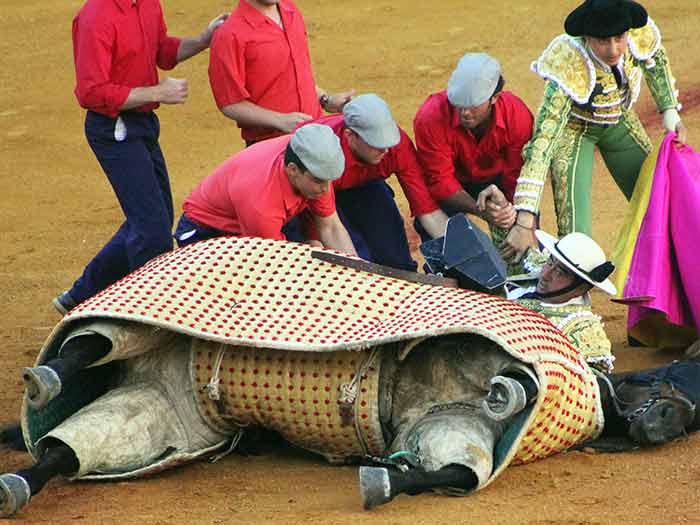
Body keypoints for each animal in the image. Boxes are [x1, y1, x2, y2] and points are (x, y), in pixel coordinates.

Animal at [1, 237, 700, 516]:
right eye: (669, 389)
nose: (667, 418)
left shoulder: (449, 429)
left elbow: (452, 470)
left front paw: (382, 478)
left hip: (156, 404)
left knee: (68, 447)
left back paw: (18, 476)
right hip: (151, 338)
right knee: (90, 344)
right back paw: (42, 386)